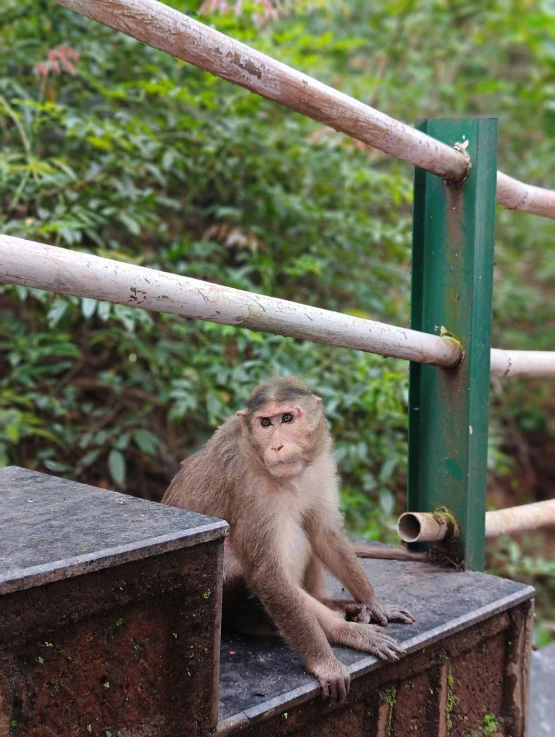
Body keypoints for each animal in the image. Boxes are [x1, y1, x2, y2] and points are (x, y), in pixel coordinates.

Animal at [163, 376, 414, 704]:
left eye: (287, 418)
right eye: (265, 423)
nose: (278, 445)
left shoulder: (319, 466)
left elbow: (324, 533)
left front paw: (374, 603)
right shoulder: (247, 483)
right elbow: (267, 575)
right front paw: (326, 661)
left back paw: (338, 605)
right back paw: (341, 628)